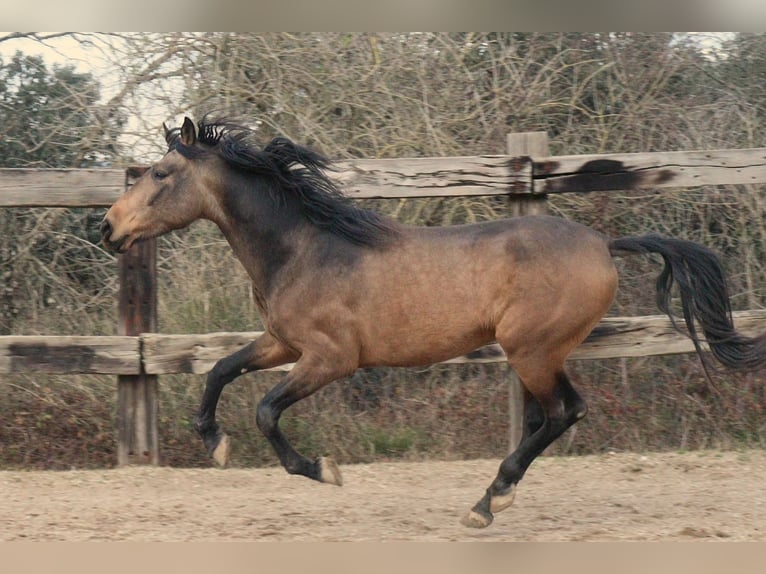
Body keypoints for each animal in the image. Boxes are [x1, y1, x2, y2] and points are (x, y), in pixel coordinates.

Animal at [100, 116, 766, 528]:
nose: (108, 228)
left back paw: (487, 501)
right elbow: (219, 369)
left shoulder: (330, 358)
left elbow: (265, 410)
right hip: (534, 354)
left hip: (532, 349)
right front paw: (214, 444)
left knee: (564, 412)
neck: (304, 246)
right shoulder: (282, 343)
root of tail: (604, 243)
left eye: (160, 173)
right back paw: (496, 495)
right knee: (545, 418)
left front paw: (323, 470)